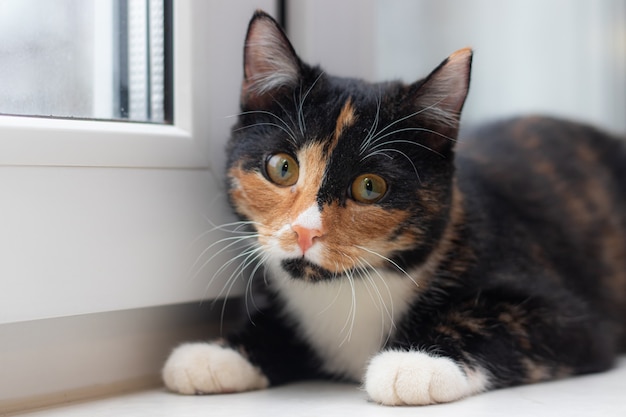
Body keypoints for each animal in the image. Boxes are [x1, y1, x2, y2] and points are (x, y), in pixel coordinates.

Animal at [161, 9, 624, 404]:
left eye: (370, 186)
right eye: (282, 167)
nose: (305, 231)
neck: (353, 287)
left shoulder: (575, 321)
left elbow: (496, 318)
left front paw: (417, 362)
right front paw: (219, 353)